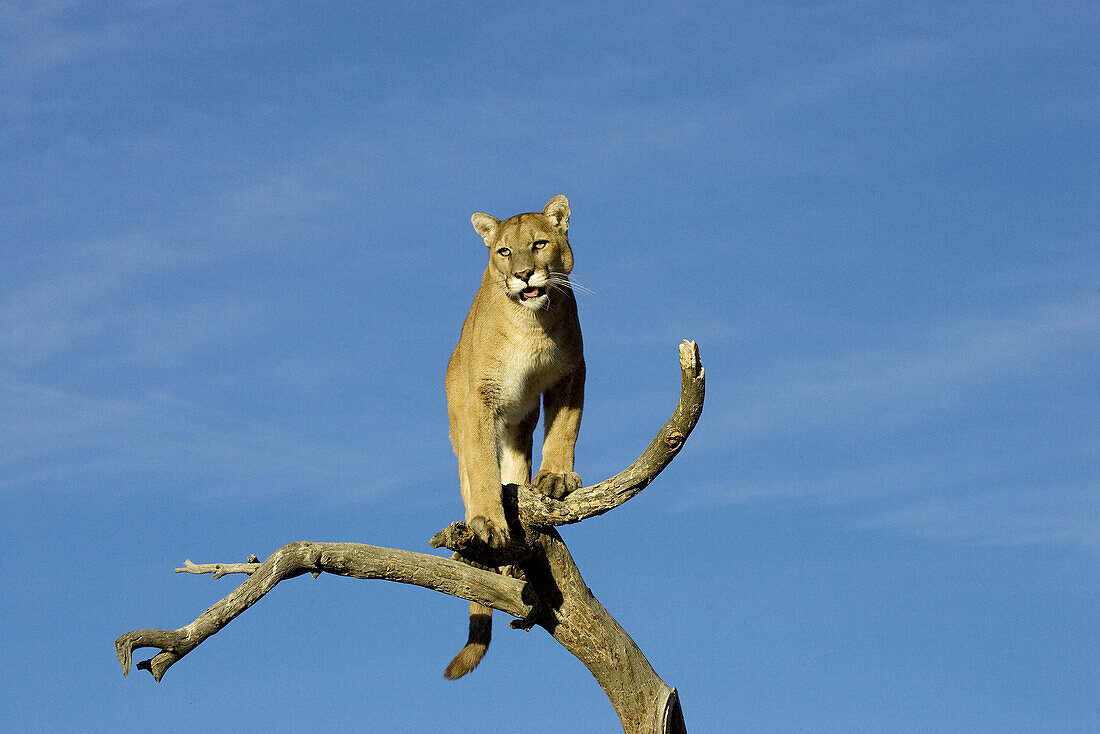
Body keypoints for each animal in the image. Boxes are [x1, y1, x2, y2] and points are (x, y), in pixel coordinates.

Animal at [444, 193, 589, 677]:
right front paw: (489, 523)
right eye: (504, 251)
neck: (531, 324)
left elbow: (564, 429)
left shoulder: (569, 373)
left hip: (519, 428)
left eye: (539, 244)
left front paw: (555, 478)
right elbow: (482, 468)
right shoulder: (480, 399)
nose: (524, 274)